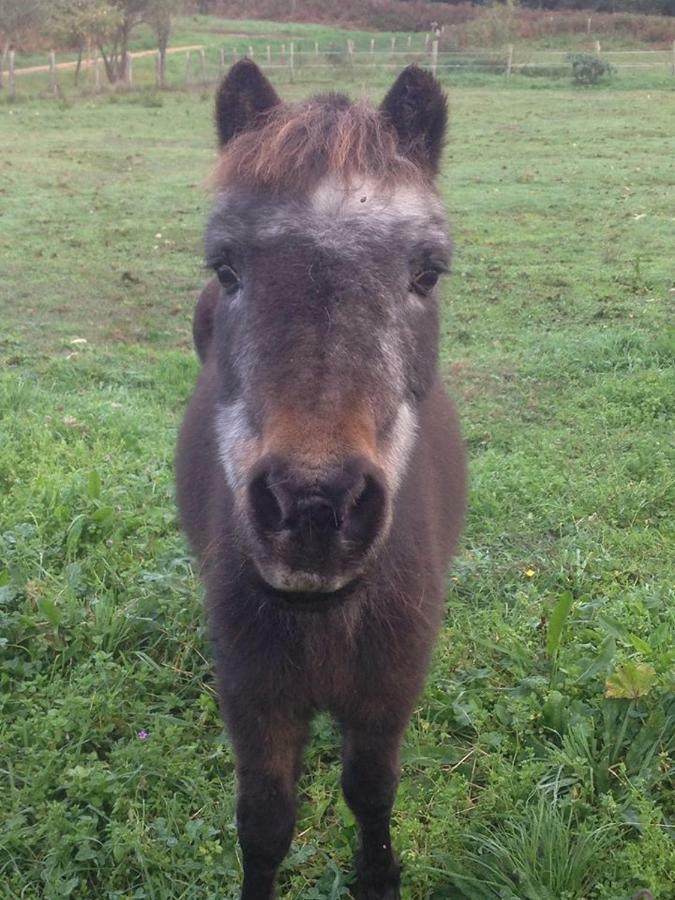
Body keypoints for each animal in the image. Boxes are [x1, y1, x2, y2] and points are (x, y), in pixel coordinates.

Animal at [177, 59, 468, 896]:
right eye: (226, 267)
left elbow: (369, 792)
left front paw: (376, 876)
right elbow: (264, 823)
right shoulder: (254, 695)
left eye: (426, 272)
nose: (311, 507)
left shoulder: (386, 690)